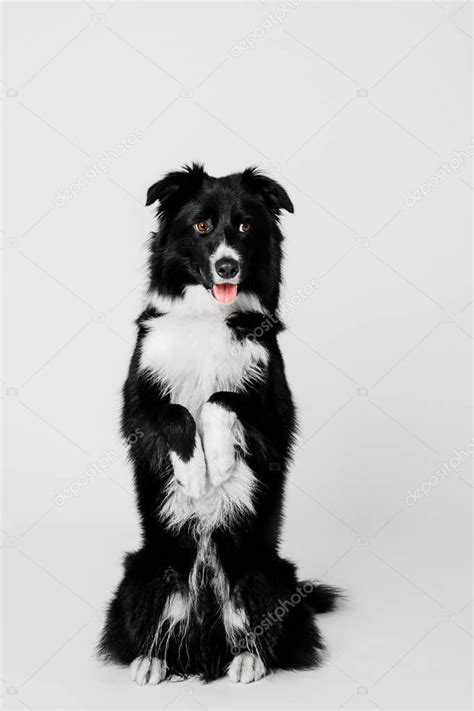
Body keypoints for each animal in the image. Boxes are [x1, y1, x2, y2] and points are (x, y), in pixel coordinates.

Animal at [98, 165, 338, 684]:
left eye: (245, 226)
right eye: (202, 226)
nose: (227, 266)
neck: (210, 314)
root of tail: (205, 646)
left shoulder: (275, 412)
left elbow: (219, 398)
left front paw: (222, 462)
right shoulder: (136, 404)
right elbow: (176, 411)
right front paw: (194, 474)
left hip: (264, 574)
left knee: (259, 632)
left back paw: (247, 660)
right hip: (148, 571)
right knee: (154, 627)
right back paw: (151, 660)